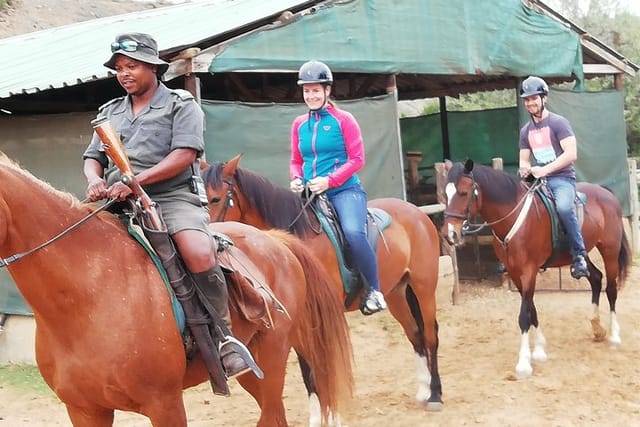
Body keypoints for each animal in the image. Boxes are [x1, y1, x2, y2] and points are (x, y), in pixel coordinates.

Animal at [0, 152, 352, 426]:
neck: (88, 297)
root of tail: (274, 239)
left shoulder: (165, 404)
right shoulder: (84, 411)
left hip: (272, 360)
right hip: (255, 373)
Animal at [202, 155, 442, 412]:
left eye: (215, 199)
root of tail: (416, 212)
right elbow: (307, 369)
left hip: (424, 287)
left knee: (430, 335)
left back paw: (435, 395)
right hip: (397, 293)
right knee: (415, 333)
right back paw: (423, 390)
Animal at [440, 160, 632, 378]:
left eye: (463, 193)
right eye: (445, 194)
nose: (449, 234)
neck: (514, 216)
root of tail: (605, 192)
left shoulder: (529, 271)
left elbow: (524, 315)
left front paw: (524, 363)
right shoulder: (515, 272)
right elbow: (531, 309)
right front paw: (539, 349)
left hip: (610, 250)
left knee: (611, 289)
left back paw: (614, 336)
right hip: (581, 254)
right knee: (596, 279)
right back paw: (597, 328)